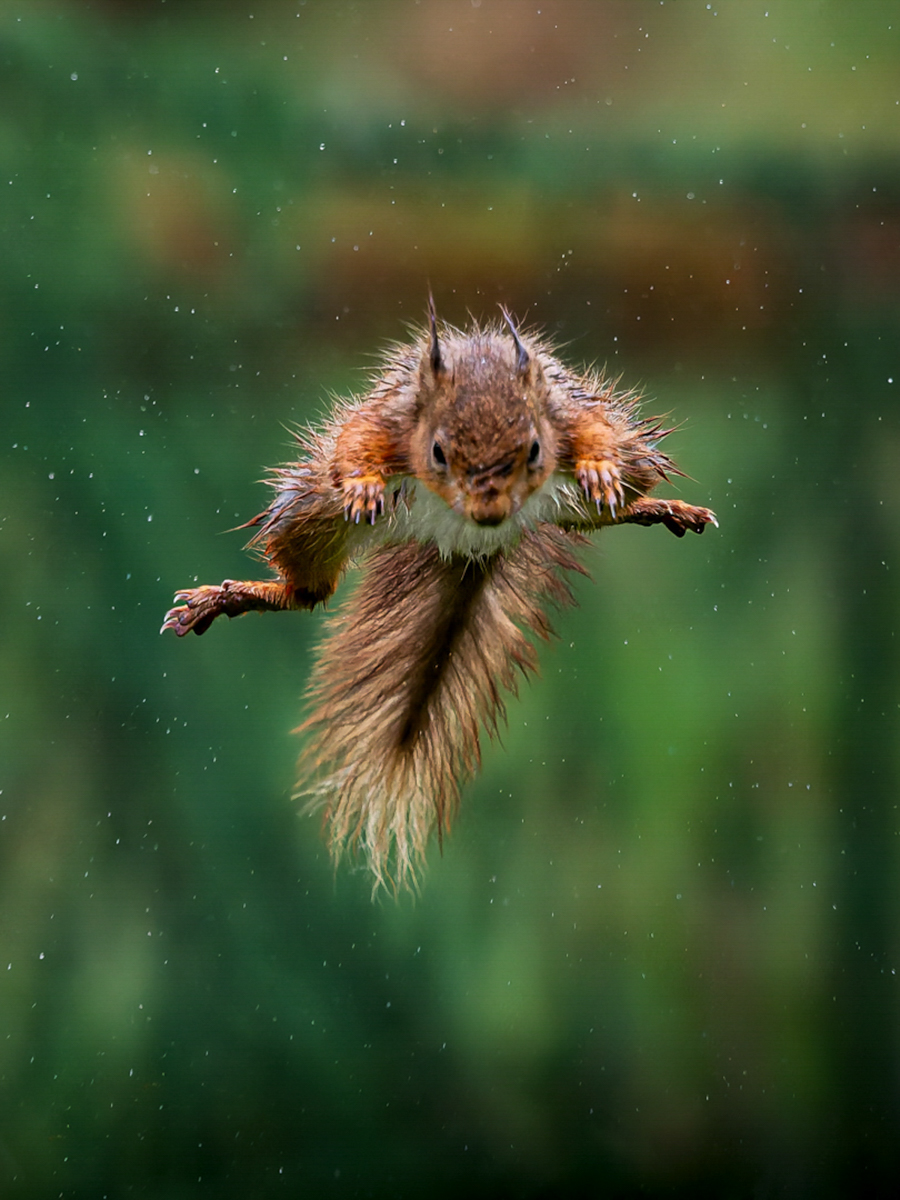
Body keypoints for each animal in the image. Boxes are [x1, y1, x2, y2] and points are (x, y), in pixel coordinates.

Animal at [161, 301, 716, 893]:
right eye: (437, 452)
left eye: (535, 449)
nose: (489, 509)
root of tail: (475, 543)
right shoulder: (391, 417)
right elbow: (356, 441)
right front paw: (363, 481)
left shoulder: (565, 412)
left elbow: (595, 433)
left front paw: (599, 466)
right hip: (311, 514)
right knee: (307, 590)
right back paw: (230, 598)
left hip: (625, 469)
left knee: (602, 507)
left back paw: (659, 507)